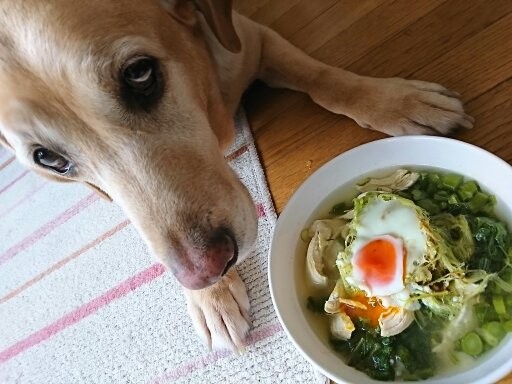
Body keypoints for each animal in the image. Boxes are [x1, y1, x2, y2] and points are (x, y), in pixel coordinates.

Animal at [0, 0, 472, 352]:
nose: (206, 272)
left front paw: (394, 100)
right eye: (49, 159)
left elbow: (323, 78)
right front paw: (211, 298)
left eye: (139, 73)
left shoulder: (250, 40)